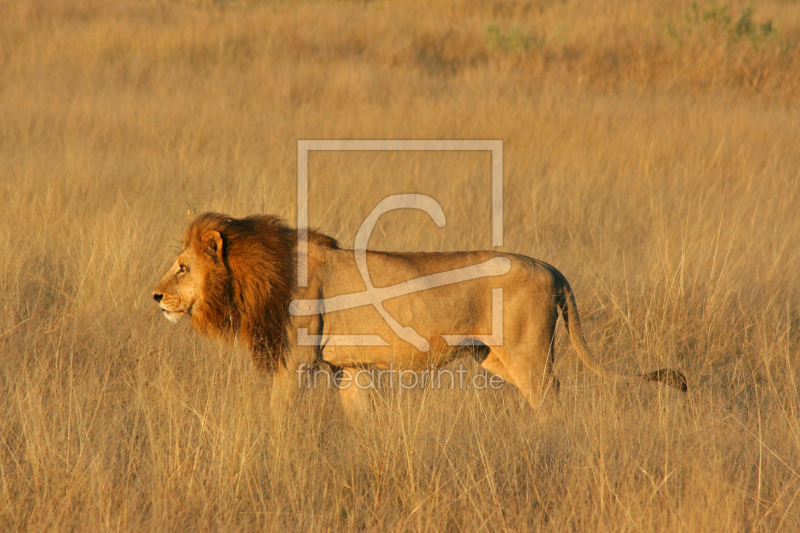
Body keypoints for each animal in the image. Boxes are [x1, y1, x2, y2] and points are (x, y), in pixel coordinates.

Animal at [155, 212, 688, 420]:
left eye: (182, 267)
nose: (155, 296)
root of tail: (552, 269)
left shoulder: (296, 361)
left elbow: (278, 411)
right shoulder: (351, 368)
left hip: (530, 353)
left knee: (551, 397)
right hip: (493, 357)